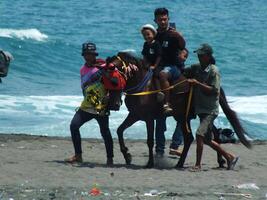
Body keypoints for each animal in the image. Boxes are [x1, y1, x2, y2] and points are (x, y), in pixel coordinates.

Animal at [106, 52, 251, 169]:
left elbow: (150, 141)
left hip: (188, 116)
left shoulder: (148, 118)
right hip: (184, 116)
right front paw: (127, 155)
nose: (113, 104)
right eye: (104, 78)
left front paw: (150, 163)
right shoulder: (135, 115)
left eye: (114, 79)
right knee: (201, 136)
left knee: (199, 136)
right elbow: (119, 130)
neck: (143, 86)